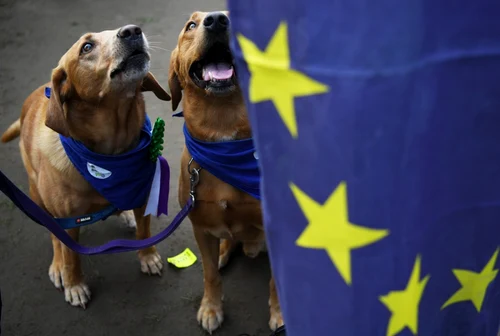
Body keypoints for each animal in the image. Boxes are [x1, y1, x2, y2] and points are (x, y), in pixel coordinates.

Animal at [0, 25, 171, 310]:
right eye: (87, 48)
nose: (132, 31)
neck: (110, 155)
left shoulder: (142, 195)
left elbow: (145, 231)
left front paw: (148, 256)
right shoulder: (68, 222)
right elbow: (72, 256)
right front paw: (74, 285)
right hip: (37, 195)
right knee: (54, 237)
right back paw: (58, 266)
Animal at [168, 11, 284, 334]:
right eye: (191, 25)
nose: (217, 20)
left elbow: (276, 282)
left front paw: (280, 313)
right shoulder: (199, 225)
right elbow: (210, 275)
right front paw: (211, 308)